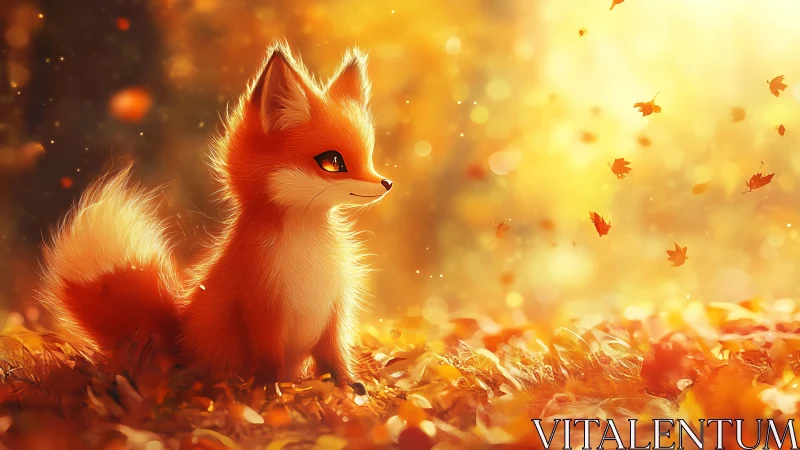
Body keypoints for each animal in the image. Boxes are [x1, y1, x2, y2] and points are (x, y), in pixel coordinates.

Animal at [36, 42, 392, 387]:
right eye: (333, 162)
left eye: (368, 156)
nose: (387, 183)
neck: (309, 246)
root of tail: (181, 339)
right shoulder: (262, 309)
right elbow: (269, 364)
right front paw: (270, 394)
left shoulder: (336, 309)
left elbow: (335, 359)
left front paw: (348, 387)